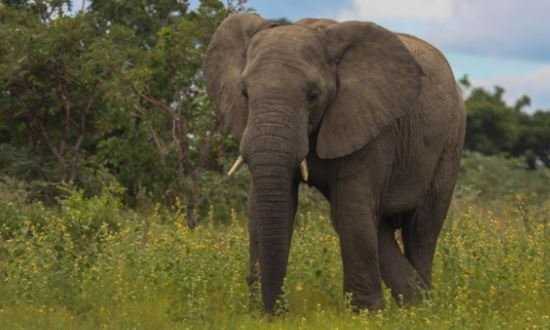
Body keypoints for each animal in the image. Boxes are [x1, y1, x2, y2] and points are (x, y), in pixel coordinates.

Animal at [206, 12, 466, 312]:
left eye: (313, 95)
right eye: (245, 94)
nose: (278, 312)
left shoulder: (372, 127)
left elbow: (351, 208)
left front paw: (365, 314)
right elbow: (263, 206)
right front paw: (258, 311)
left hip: (449, 144)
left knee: (421, 228)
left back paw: (421, 308)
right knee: (378, 225)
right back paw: (414, 301)